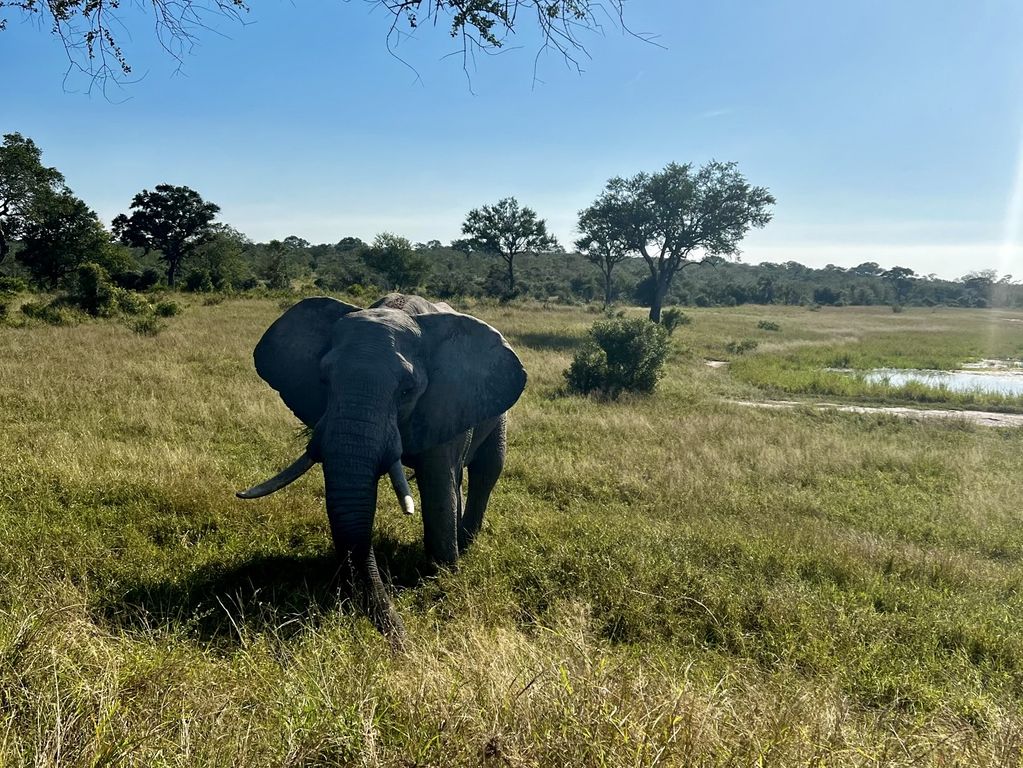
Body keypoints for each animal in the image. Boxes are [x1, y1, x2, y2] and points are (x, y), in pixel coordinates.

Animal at [236, 294, 527, 642]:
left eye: (406, 391)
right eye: (324, 380)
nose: (403, 641)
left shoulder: (448, 399)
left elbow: (437, 483)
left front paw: (444, 577)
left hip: (495, 413)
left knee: (487, 471)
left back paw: (466, 542)